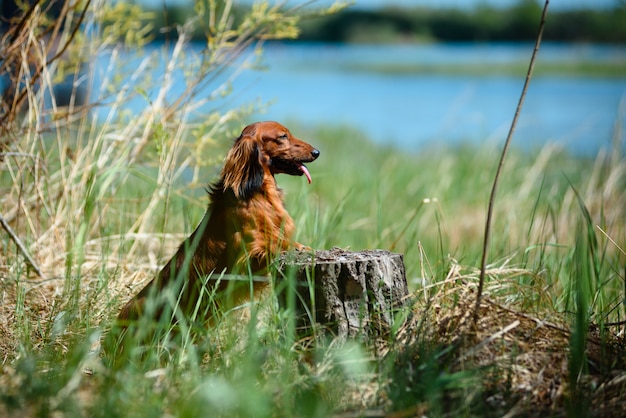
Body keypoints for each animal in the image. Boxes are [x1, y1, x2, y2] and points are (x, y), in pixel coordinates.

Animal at [117, 122, 320, 328]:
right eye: (282, 136)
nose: (316, 152)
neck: (258, 193)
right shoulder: (249, 247)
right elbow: (275, 242)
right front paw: (301, 246)